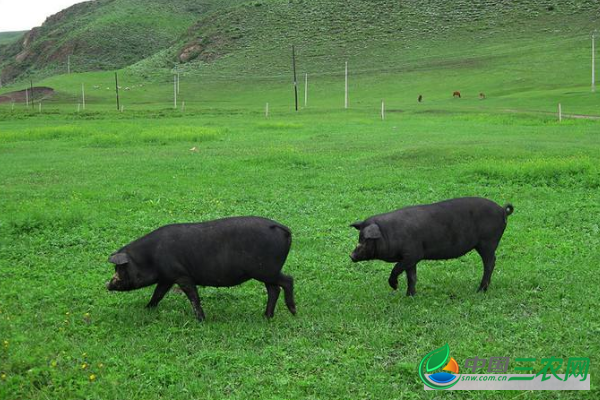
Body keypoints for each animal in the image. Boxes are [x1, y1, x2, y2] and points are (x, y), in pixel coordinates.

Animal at [108, 216, 298, 322]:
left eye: (120, 268)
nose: (107, 285)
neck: (150, 257)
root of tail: (283, 228)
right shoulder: (167, 277)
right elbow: (158, 294)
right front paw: (147, 309)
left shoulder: (181, 275)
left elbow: (193, 297)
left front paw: (201, 320)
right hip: (266, 272)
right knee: (274, 289)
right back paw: (266, 317)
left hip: (265, 270)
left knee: (288, 280)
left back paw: (293, 312)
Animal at [350, 198, 512, 296]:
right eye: (359, 237)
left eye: (365, 239)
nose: (351, 255)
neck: (388, 233)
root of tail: (502, 210)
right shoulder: (410, 259)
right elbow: (412, 277)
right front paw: (410, 296)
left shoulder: (413, 254)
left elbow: (396, 268)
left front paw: (395, 287)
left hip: (488, 242)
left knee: (490, 263)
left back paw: (480, 290)